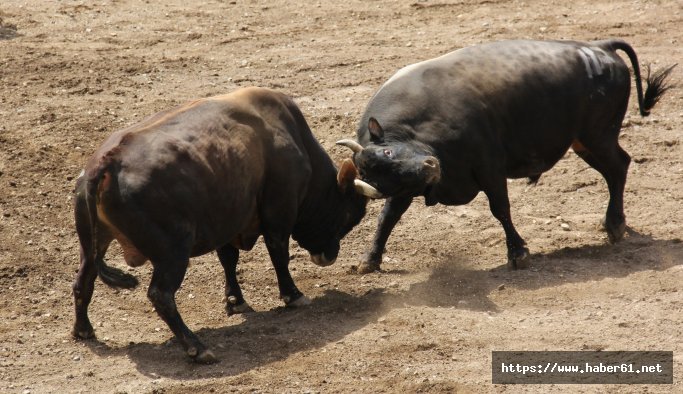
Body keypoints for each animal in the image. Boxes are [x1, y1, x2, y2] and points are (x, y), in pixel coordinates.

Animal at [75, 87, 384, 364]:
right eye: (349, 215)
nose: (328, 256)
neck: (294, 140)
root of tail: (108, 162)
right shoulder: (278, 213)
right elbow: (278, 254)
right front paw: (293, 295)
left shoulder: (227, 221)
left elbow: (228, 259)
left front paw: (236, 300)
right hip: (173, 252)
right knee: (160, 295)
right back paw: (197, 348)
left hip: (93, 245)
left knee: (83, 282)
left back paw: (83, 330)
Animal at [340, 40, 676, 274]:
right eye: (386, 181)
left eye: (387, 150)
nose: (430, 166)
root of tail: (599, 47)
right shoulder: (409, 189)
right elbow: (388, 218)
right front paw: (370, 259)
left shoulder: (489, 167)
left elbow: (500, 208)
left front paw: (518, 253)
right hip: (587, 142)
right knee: (615, 169)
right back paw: (614, 224)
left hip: (597, 137)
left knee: (618, 167)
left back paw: (615, 224)